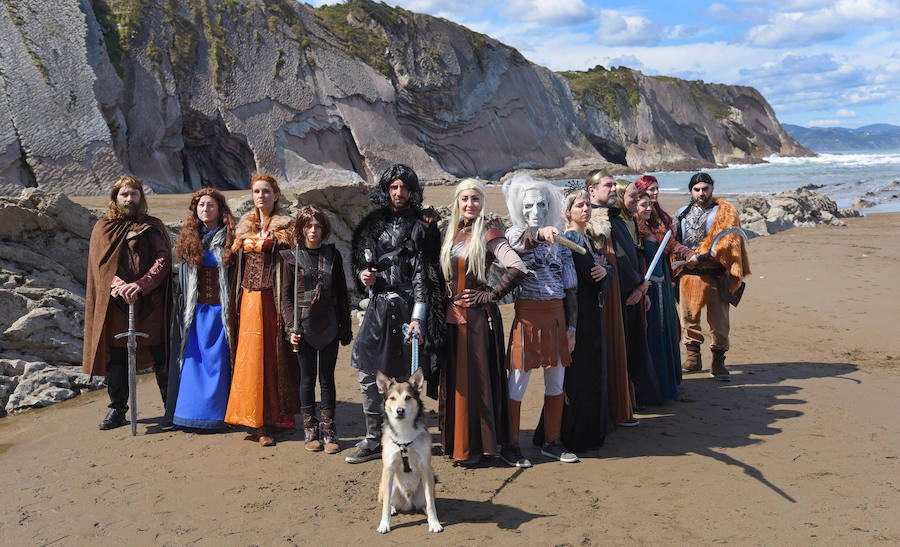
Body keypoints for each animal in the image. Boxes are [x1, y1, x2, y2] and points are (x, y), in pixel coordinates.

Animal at [374, 368, 442, 536]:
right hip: (387, 484)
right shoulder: (388, 468)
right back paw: (393, 508)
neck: (404, 434)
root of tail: (408, 503)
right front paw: (384, 524)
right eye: (392, 398)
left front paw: (434, 523)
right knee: (386, 500)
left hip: (427, 484)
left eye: (408, 397)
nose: (400, 410)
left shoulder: (425, 468)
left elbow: (431, 504)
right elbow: (385, 506)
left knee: (426, 501)